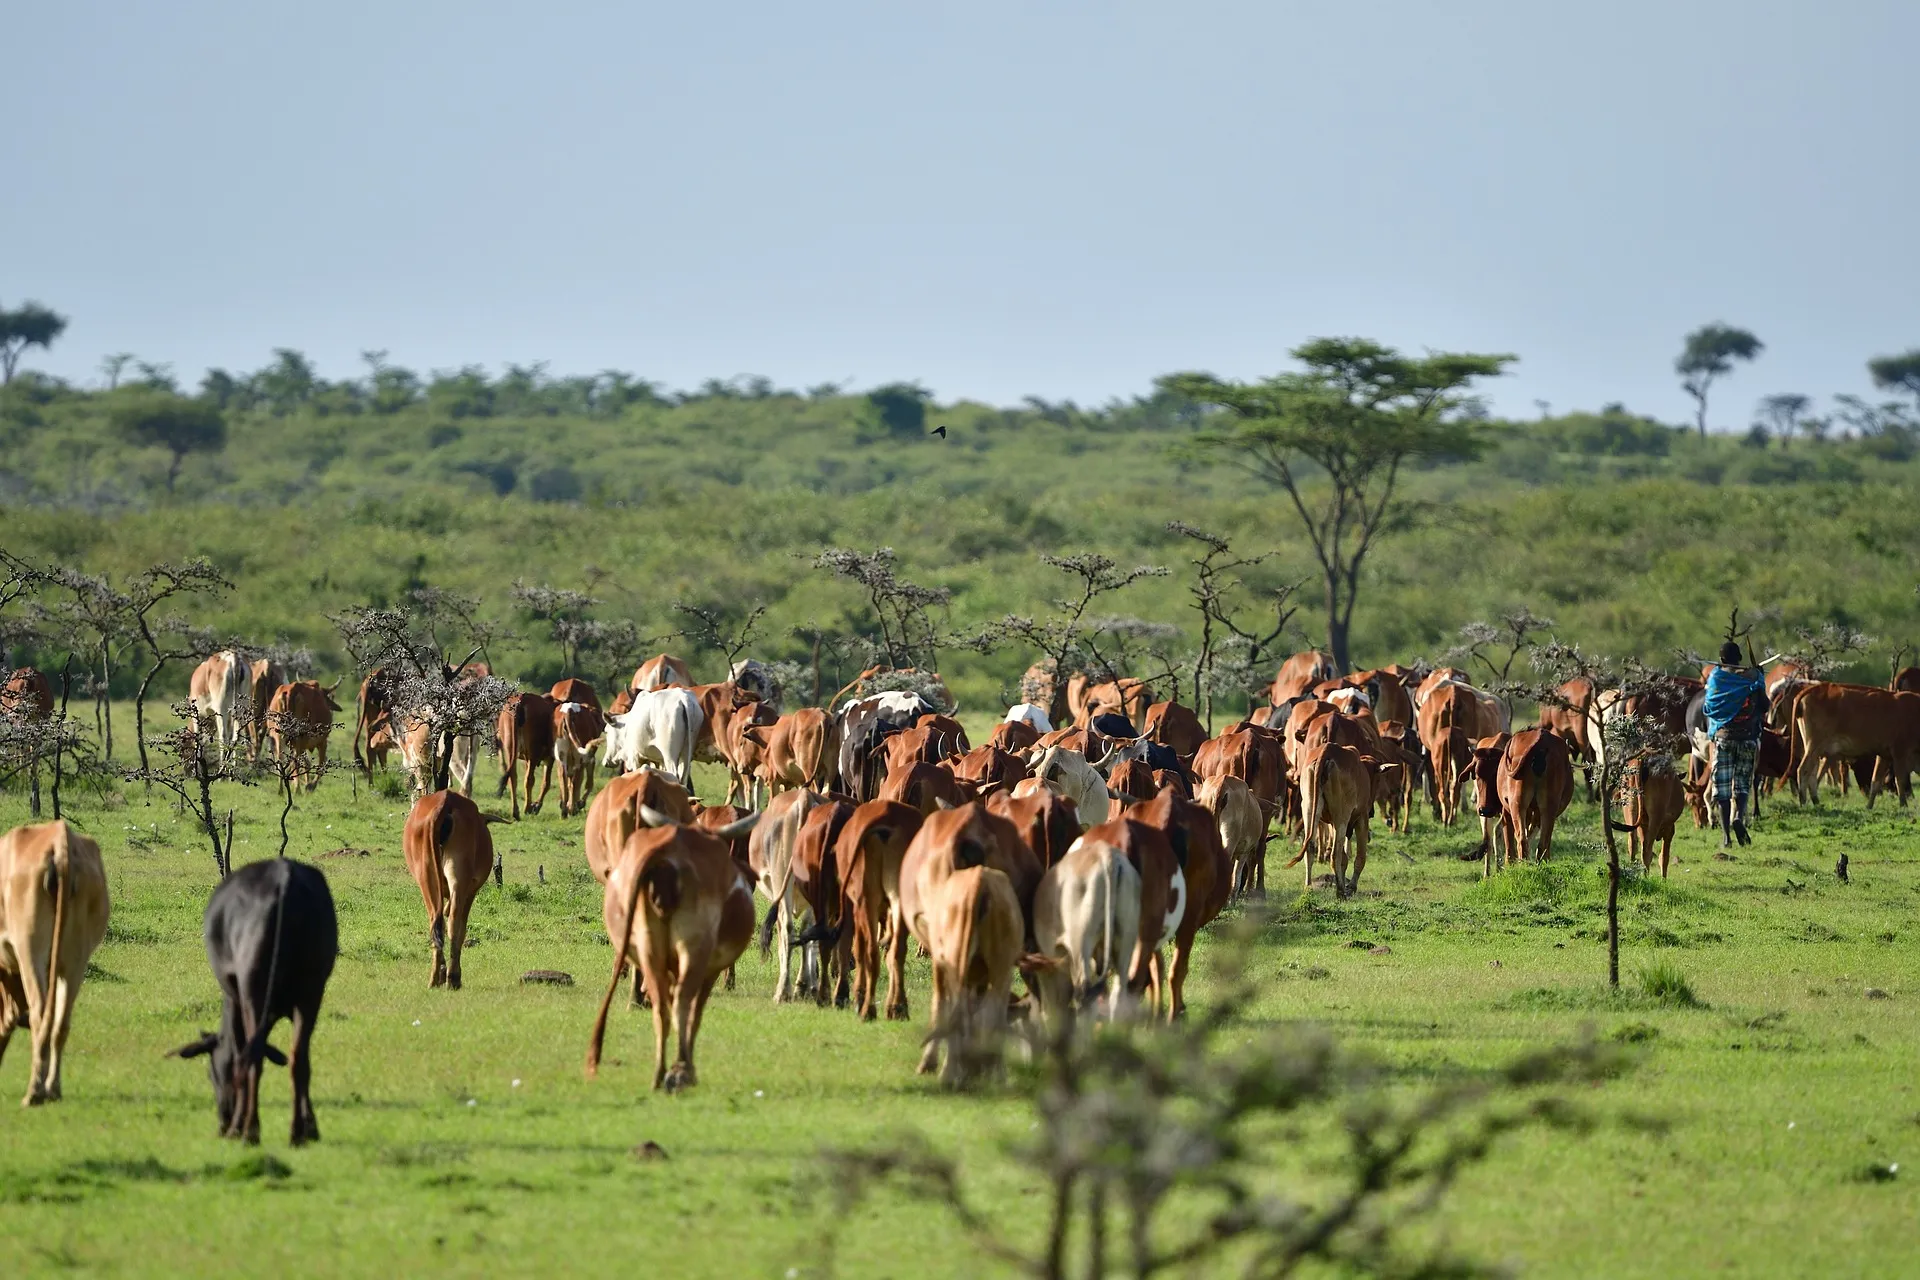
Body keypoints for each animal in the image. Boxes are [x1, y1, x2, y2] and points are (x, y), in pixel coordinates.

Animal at [0, 825, 109, 1105]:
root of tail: (59, 841)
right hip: (75, 961)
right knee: (61, 1022)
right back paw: (53, 1088)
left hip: (30, 950)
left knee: (40, 1013)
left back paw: (34, 1092)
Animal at [170, 859, 336, 1151]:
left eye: (211, 1074)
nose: (222, 1122)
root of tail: (283, 877)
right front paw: (312, 1127)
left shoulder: (236, 1001)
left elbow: (239, 1056)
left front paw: (237, 1127)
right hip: (311, 993)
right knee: (298, 1059)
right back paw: (297, 1133)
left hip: (252, 992)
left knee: (252, 1058)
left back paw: (249, 1130)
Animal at [401, 790, 503, 990]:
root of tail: (445, 800)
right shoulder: (471, 891)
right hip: (459, 879)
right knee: (454, 924)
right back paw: (453, 977)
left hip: (425, 875)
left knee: (436, 922)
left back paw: (436, 978)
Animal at [495, 690, 556, 821]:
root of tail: (521, 699)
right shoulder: (549, 757)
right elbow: (546, 783)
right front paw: (536, 805)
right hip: (533, 751)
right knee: (529, 779)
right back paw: (527, 808)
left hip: (510, 748)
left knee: (512, 776)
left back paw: (516, 811)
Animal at [583, 809, 756, 1090]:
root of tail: (666, 850)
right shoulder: (709, 970)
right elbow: (696, 1013)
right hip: (694, 950)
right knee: (683, 1004)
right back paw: (681, 1070)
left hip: (649, 949)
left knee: (661, 1007)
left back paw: (659, 1072)